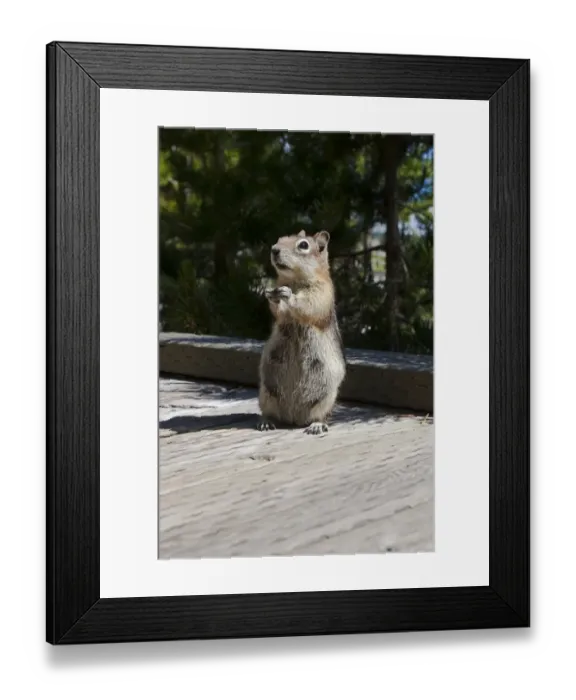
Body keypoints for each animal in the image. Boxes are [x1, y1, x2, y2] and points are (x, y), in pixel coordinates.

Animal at [257, 229, 346, 435]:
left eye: (303, 245)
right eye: (279, 239)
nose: (274, 250)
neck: (294, 280)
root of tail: (294, 417)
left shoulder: (322, 291)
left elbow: (308, 304)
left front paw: (288, 296)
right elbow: (279, 313)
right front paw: (271, 296)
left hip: (326, 397)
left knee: (319, 416)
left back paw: (316, 425)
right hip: (266, 393)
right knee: (270, 412)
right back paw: (266, 422)